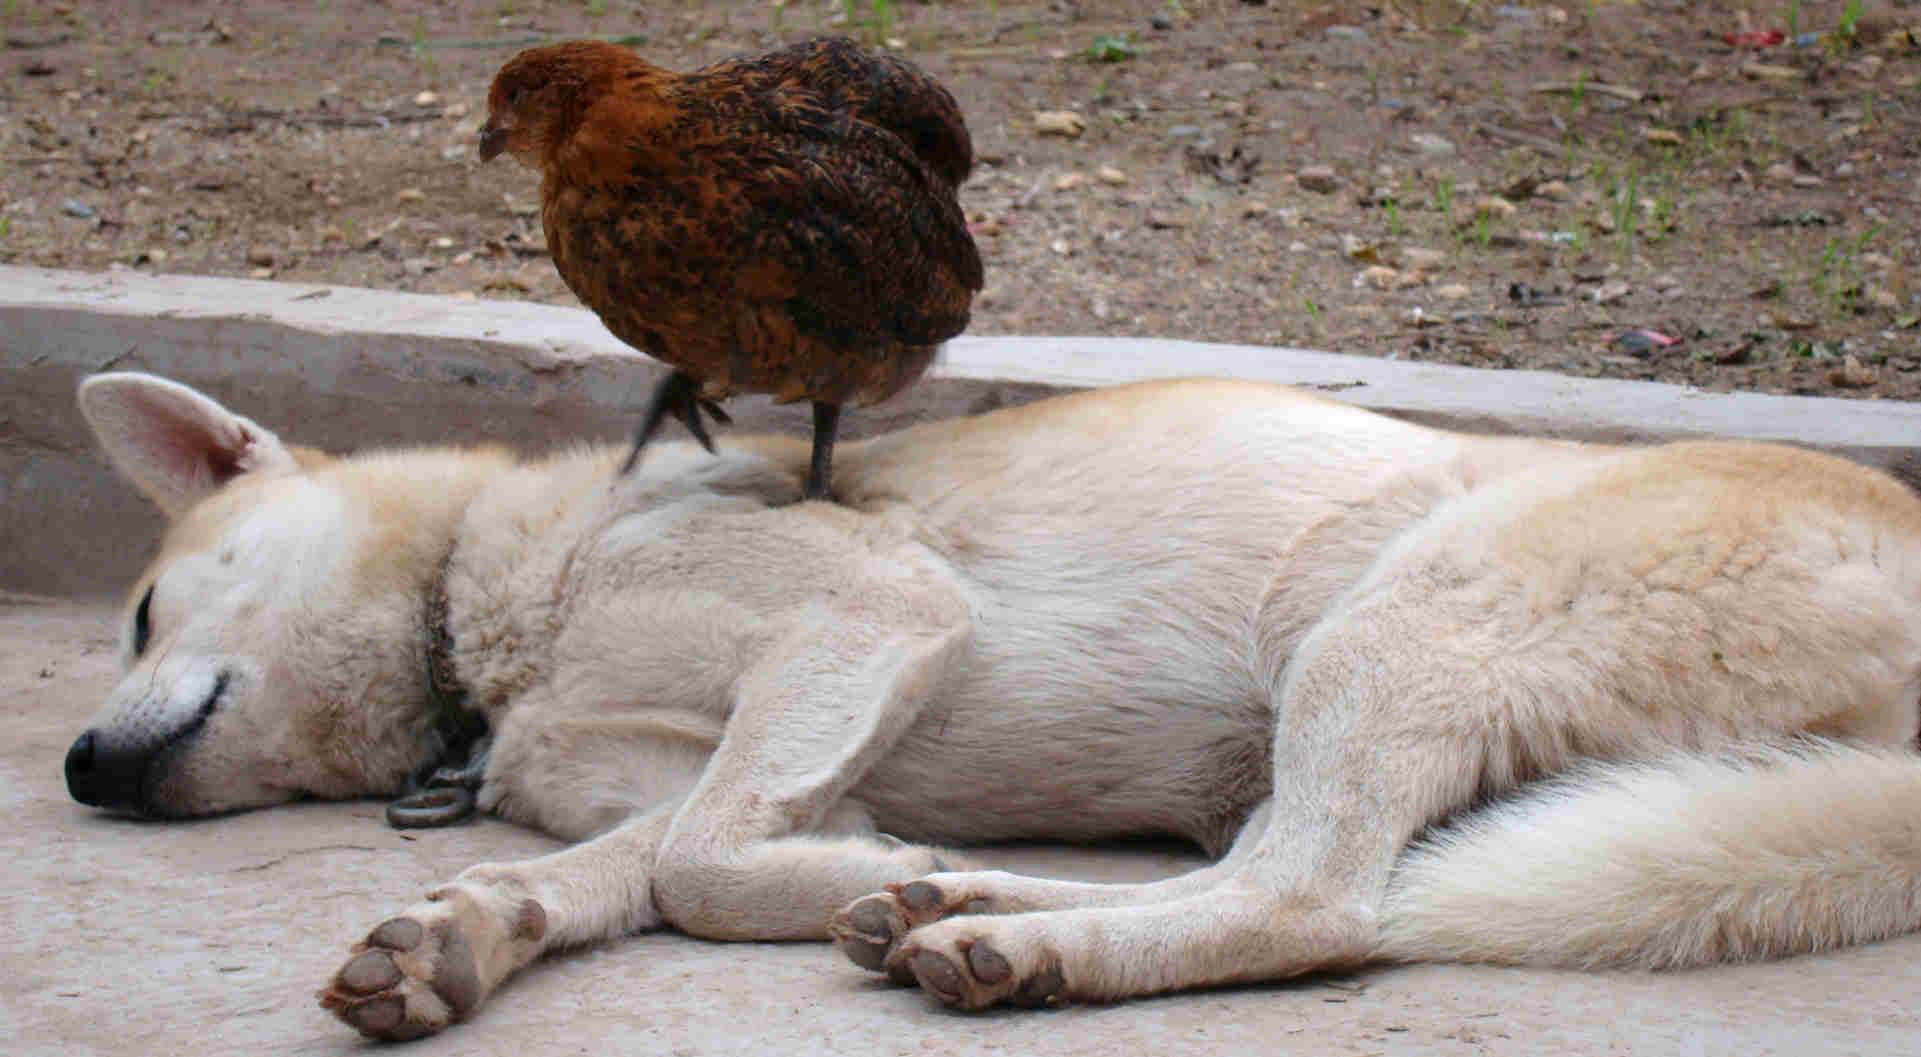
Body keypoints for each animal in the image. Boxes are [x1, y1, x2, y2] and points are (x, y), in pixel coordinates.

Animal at [67, 372, 1921, 1045]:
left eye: (143, 609)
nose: (79, 765)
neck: (493, 614)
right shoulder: (701, 757)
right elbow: (617, 867)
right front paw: (463, 932)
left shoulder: (864, 618)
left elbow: (698, 868)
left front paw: (833, 868)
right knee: (1280, 875)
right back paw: (956, 900)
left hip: (1391, 626)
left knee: (1319, 902)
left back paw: (1020, 945)